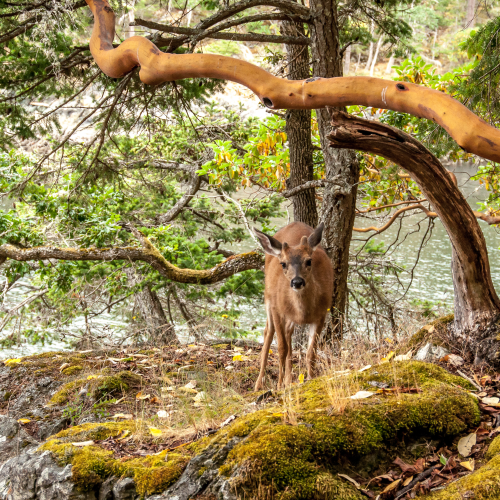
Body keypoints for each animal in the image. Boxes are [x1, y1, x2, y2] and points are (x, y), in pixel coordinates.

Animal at [254, 222, 332, 390]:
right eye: (283, 264)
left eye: (309, 261)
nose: (297, 282)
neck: (303, 312)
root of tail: (293, 224)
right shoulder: (277, 309)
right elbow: (281, 348)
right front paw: (278, 386)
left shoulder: (322, 313)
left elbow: (311, 351)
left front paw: (311, 379)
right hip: (268, 299)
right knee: (268, 332)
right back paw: (259, 384)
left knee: (288, 333)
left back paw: (289, 380)